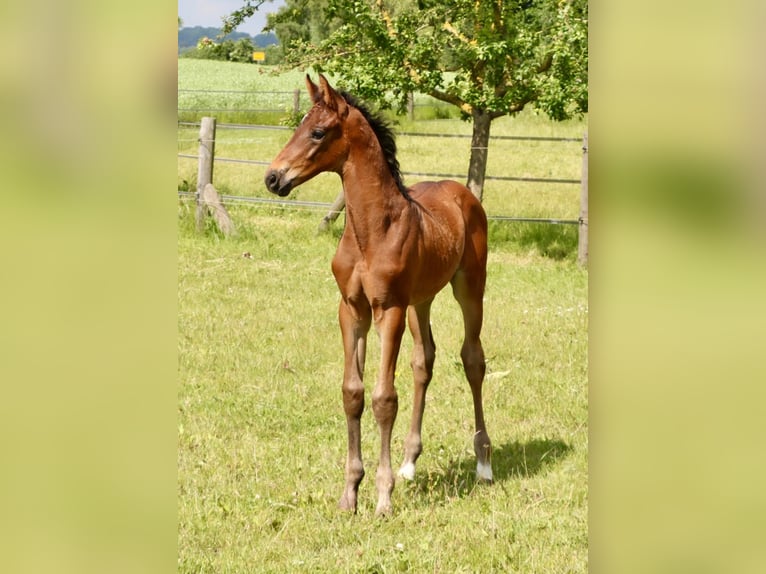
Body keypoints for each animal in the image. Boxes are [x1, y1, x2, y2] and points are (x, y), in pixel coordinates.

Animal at [262, 74, 492, 520]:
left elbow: (384, 397)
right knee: (424, 361)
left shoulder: (389, 310)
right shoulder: (352, 310)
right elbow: (353, 393)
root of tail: (462, 192)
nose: (273, 178)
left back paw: (483, 463)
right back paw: (408, 463)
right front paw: (350, 493)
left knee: (473, 359)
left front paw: (383, 498)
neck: (373, 230)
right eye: (299, 126)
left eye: (318, 132)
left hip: (469, 287)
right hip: (422, 300)